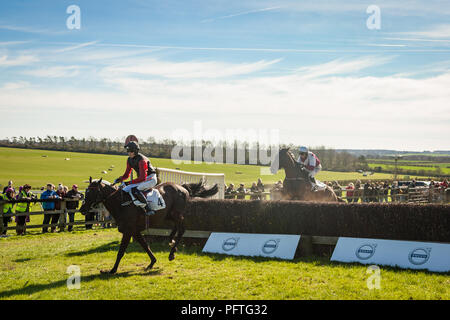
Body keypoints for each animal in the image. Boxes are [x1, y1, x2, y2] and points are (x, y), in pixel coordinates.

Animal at [80, 176, 219, 274]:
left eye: (92, 192)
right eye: (86, 192)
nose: (82, 209)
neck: (121, 203)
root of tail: (182, 187)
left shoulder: (128, 231)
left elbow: (121, 251)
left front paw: (112, 270)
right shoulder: (135, 231)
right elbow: (145, 246)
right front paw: (152, 262)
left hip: (176, 214)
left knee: (182, 229)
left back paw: (172, 252)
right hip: (169, 215)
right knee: (176, 228)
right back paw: (171, 241)